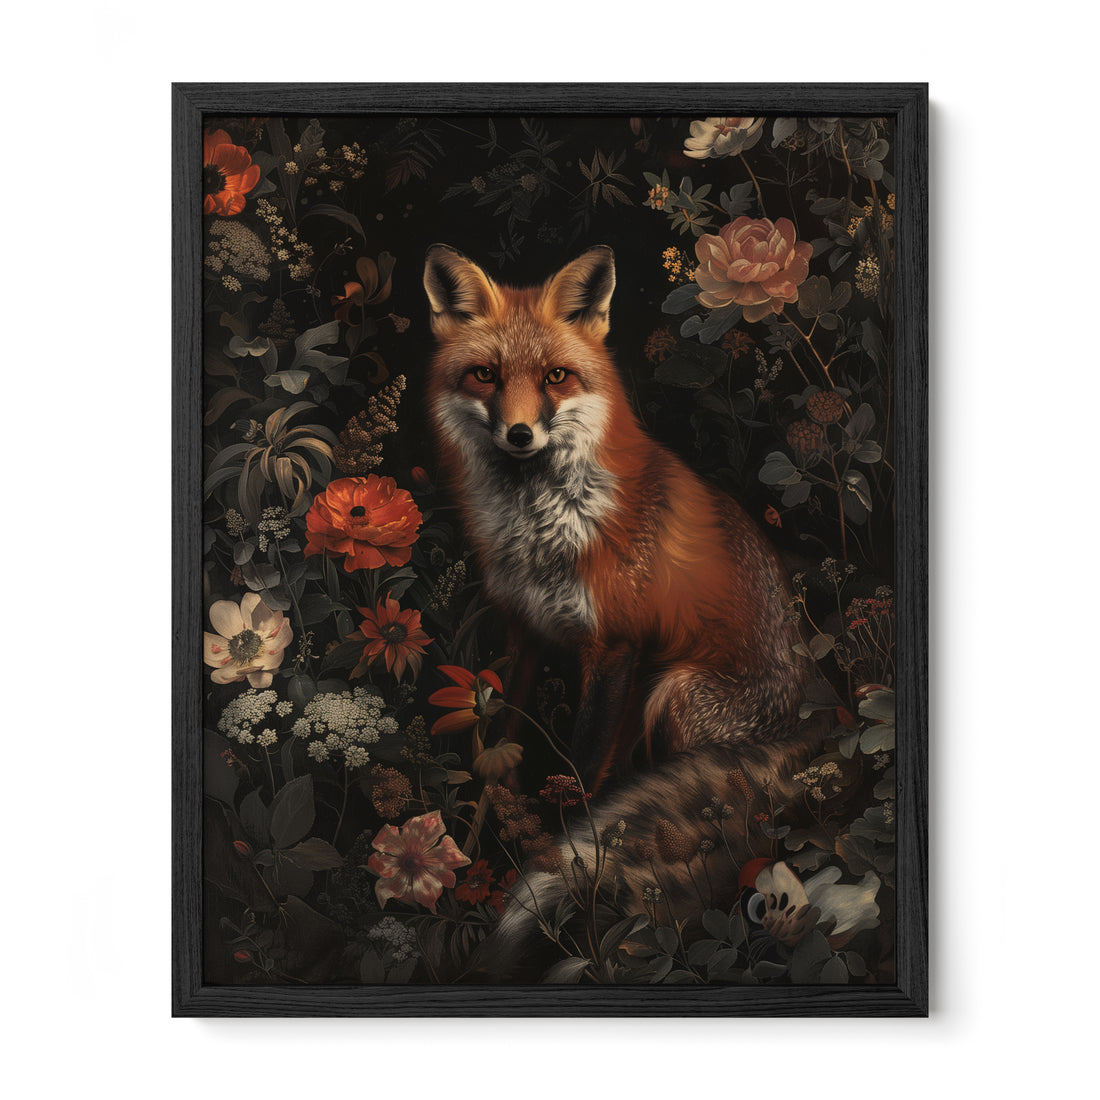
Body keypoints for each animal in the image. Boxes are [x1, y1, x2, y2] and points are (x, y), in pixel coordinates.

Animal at [423, 244, 821, 976]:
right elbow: (497, 758)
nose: (519, 433)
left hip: (675, 693)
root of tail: (821, 718)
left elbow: (579, 779)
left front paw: (548, 864)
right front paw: (468, 855)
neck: (543, 528)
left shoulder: (615, 646)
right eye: (485, 374)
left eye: (555, 376)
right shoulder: (524, 635)